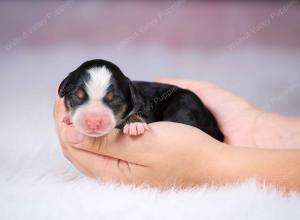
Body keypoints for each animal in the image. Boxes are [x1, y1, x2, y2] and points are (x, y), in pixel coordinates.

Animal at [58, 58, 224, 141]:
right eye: (76, 96)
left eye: (114, 99)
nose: (93, 122)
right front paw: (68, 118)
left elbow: (138, 115)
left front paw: (134, 124)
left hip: (183, 103)